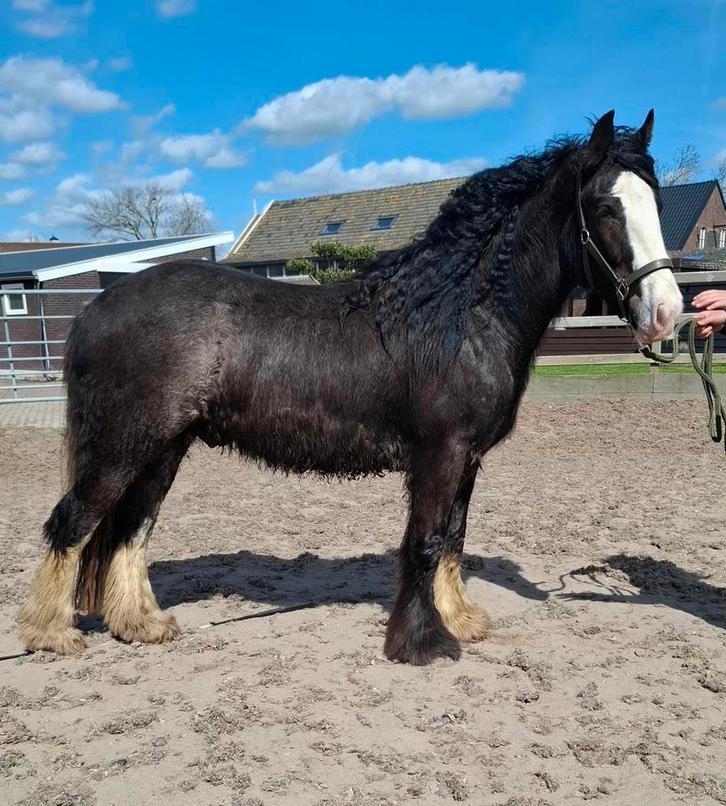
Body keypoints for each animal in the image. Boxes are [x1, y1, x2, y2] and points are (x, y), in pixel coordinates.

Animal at [18, 110, 683, 665]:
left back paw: (141, 625)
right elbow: (424, 541)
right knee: (72, 521)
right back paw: (51, 635)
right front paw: (422, 643)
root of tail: (95, 308)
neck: (459, 311)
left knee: (132, 527)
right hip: (123, 445)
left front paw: (460, 620)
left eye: (653, 202)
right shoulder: (440, 453)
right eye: (606, 208)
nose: (666, 312)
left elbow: (453, 538)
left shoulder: (468, 459)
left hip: (163, 446)